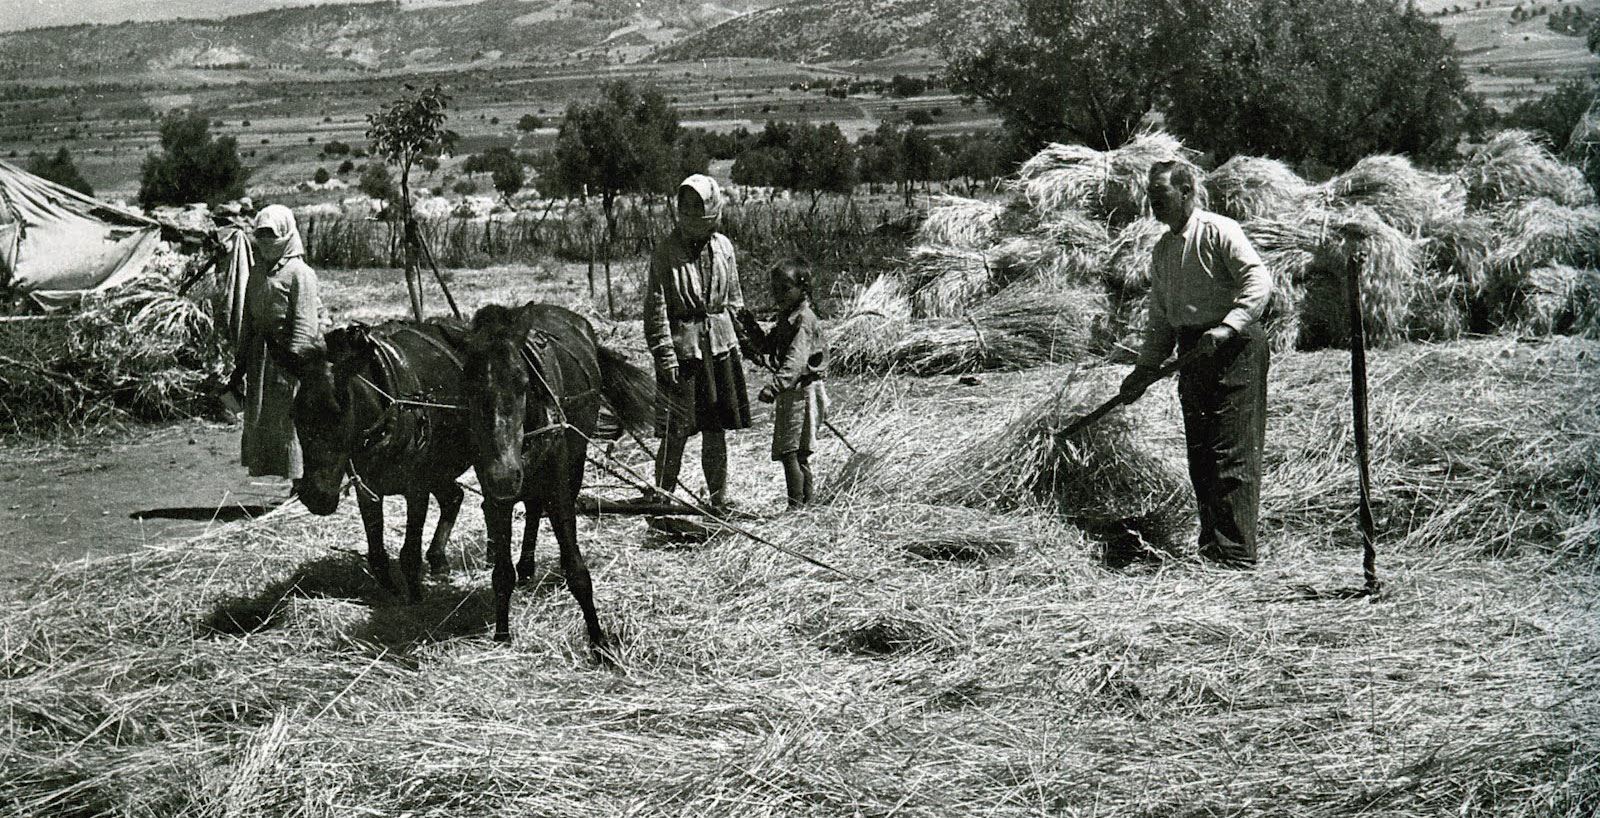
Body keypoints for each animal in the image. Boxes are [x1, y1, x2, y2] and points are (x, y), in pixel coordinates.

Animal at [292, 320, 470, 601]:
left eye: (341, 414)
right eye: (295, 415)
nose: (316, 497)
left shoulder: (416, 488)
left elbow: (410, 554)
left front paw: (415, 599)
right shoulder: (368, 487)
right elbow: (376, 552)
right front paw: (391, 590)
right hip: (439, 471)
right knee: (453, 497)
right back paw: (438, 560)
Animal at [464, 304, 656, 649]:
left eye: (523, 381)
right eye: (469, 384)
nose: (505, 475)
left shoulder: (559, 490)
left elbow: (578, 571)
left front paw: (598, 641)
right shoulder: (495, 496)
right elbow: (501, 573)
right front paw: (502, 634)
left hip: (574, 464)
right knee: (532, 508)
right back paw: (526, 566)